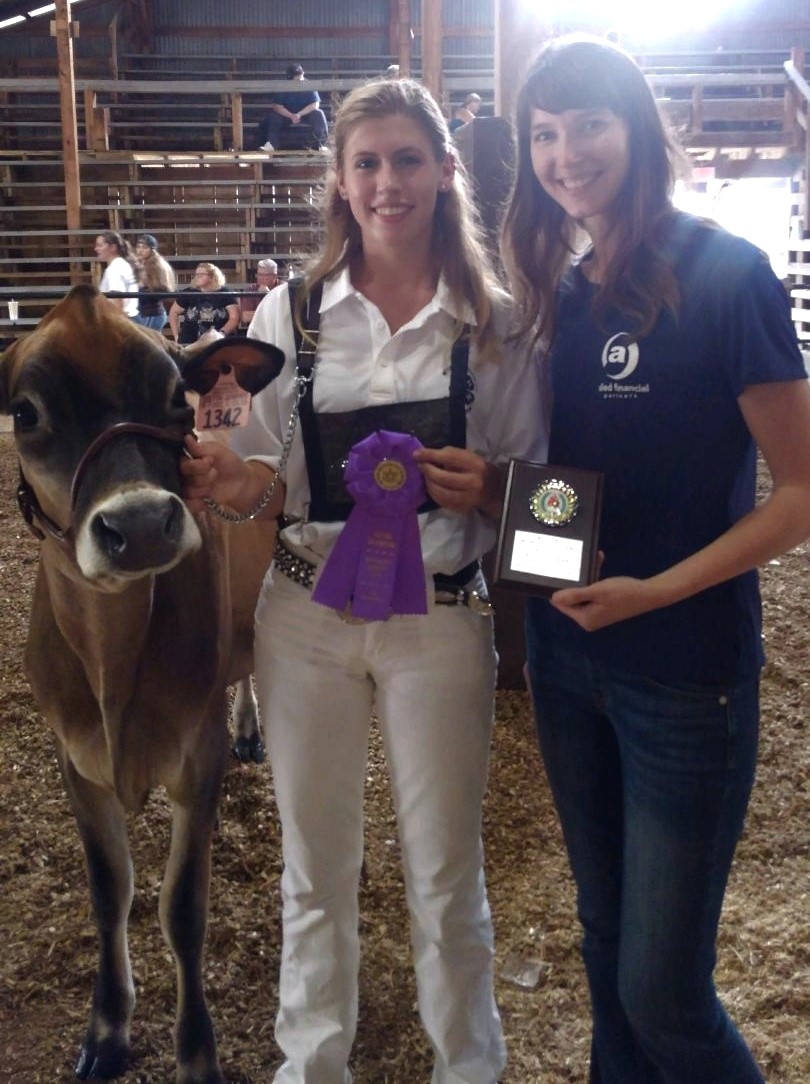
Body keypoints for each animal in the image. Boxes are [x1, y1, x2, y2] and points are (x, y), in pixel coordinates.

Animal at [0, 284, 284, 1079]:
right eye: (26, 412)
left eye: (175, 397)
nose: (143, 524)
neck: (113, 667)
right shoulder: (74, 759)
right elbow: (110, 892)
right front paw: (107, 1028)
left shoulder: (197, 757)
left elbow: (182, 909)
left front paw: (196, 1050)